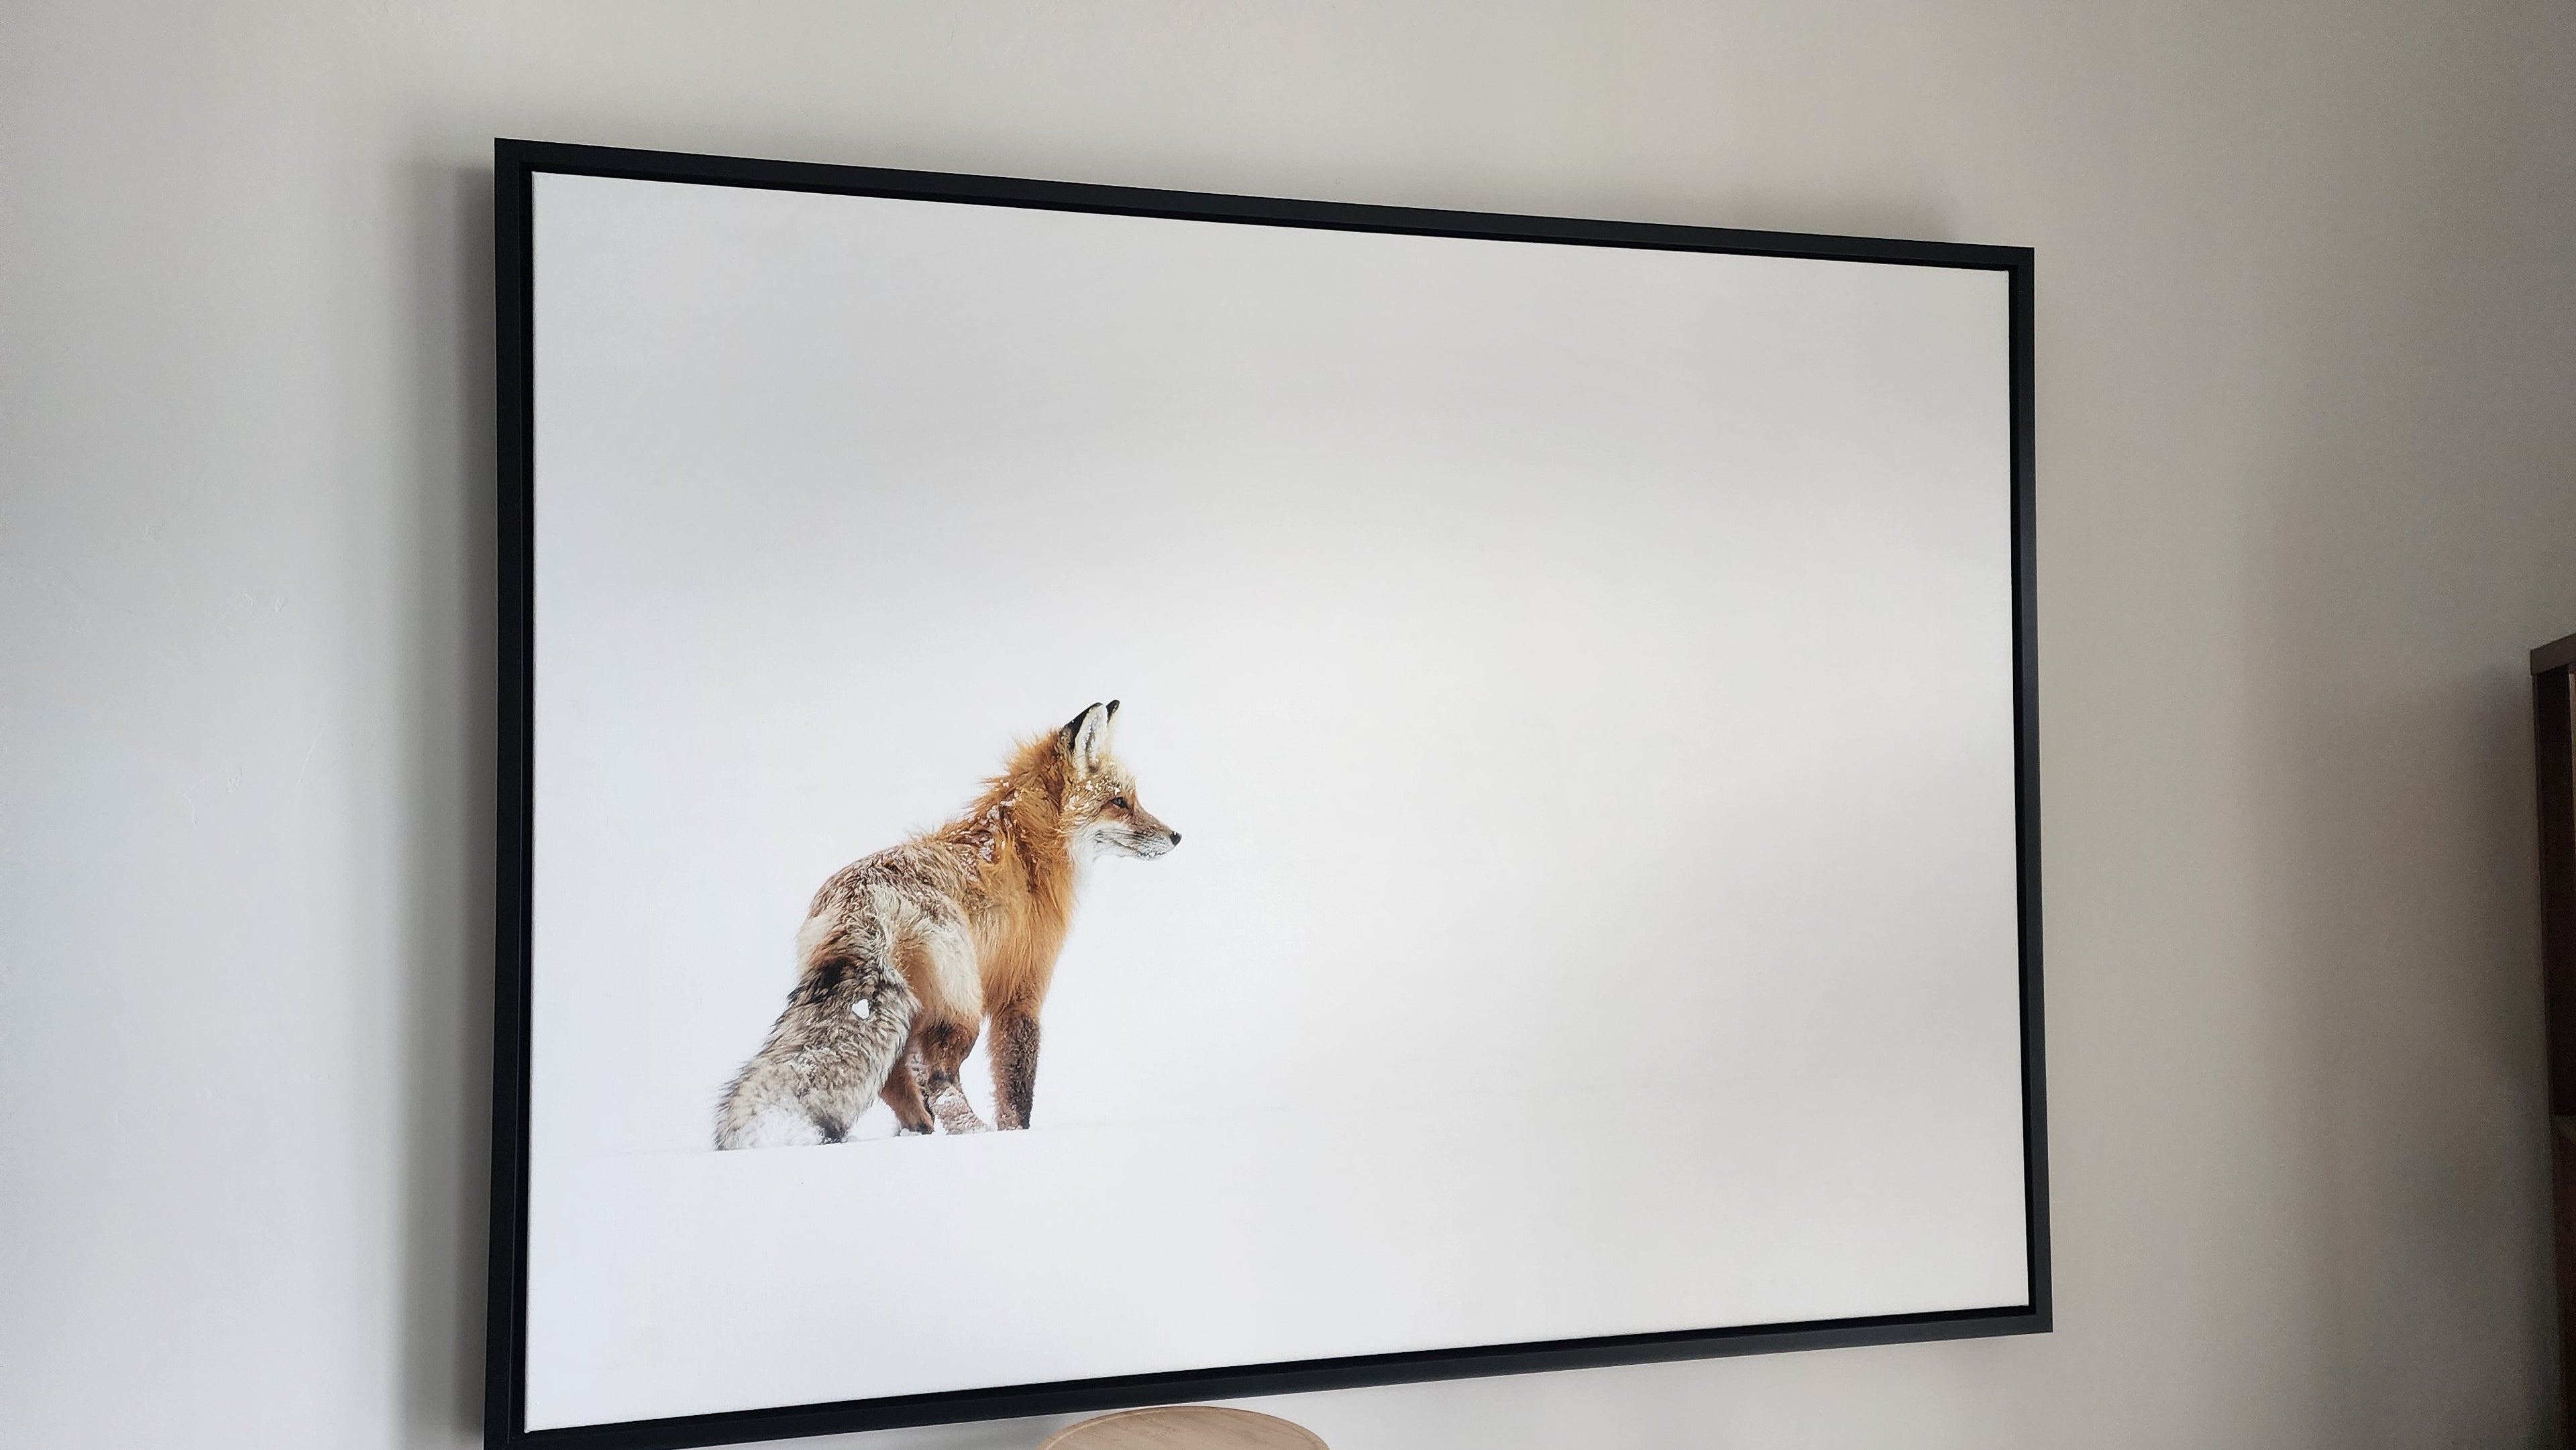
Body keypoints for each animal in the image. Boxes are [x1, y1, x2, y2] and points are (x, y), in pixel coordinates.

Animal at [714, 700, 1179, 1149]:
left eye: (1132, 798)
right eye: (1119, 802)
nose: (1176, 836)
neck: (1029, 849)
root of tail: (860, 900)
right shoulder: (1022, 991)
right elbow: (1016, 1089)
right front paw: (1016, 1137)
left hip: (916, 1005)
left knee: (895, 1077)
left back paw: (918, 1129)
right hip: (961, 1008)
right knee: (939, 1077)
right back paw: (970, 1133)